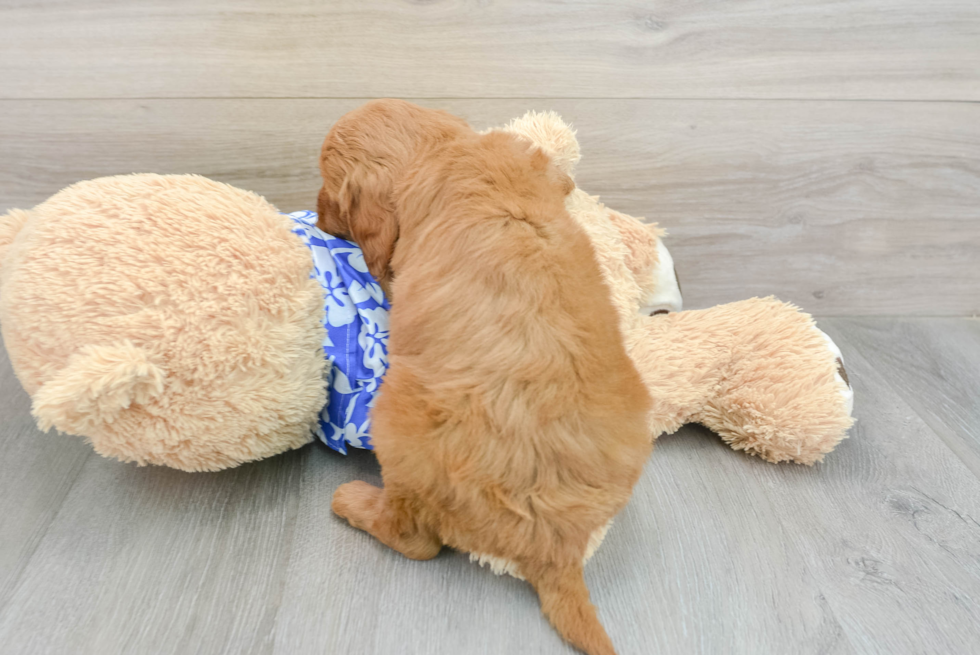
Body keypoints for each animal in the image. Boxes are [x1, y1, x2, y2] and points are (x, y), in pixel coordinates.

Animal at [318, 98, 652, 655]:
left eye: (327, 187)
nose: (316, 215)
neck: (443, 149)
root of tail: (558, 550)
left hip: (398, 423)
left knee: (415, 539)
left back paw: (353, 501)